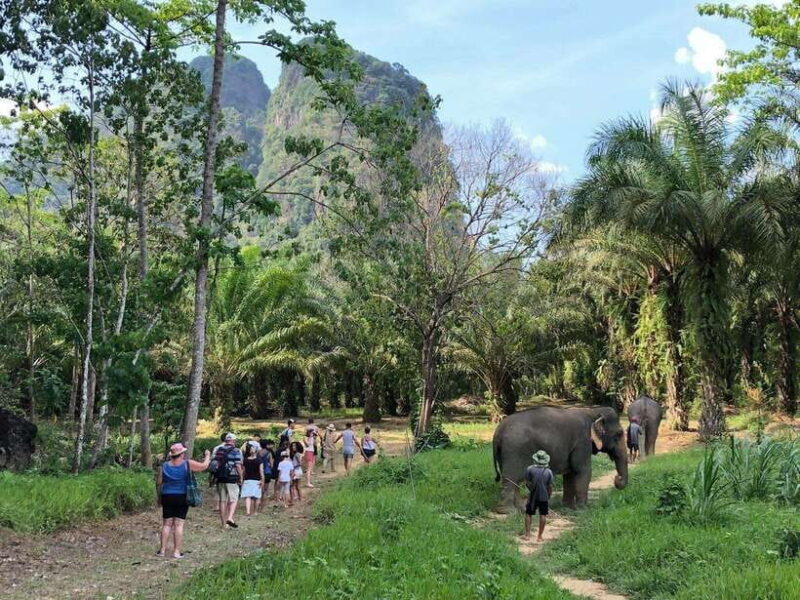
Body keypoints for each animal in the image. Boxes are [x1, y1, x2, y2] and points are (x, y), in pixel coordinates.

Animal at [492, 405, 629, 510]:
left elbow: (570, 473)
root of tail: (497, 432)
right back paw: (508, 511)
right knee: (511, 478)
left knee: (514, 480)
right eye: (619, 434)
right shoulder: (582, 441)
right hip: (514, 451)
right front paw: (583, 508)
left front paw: (568, 507)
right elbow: (582, 470)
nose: (617, 478)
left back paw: (520, 509)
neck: (592, 411)